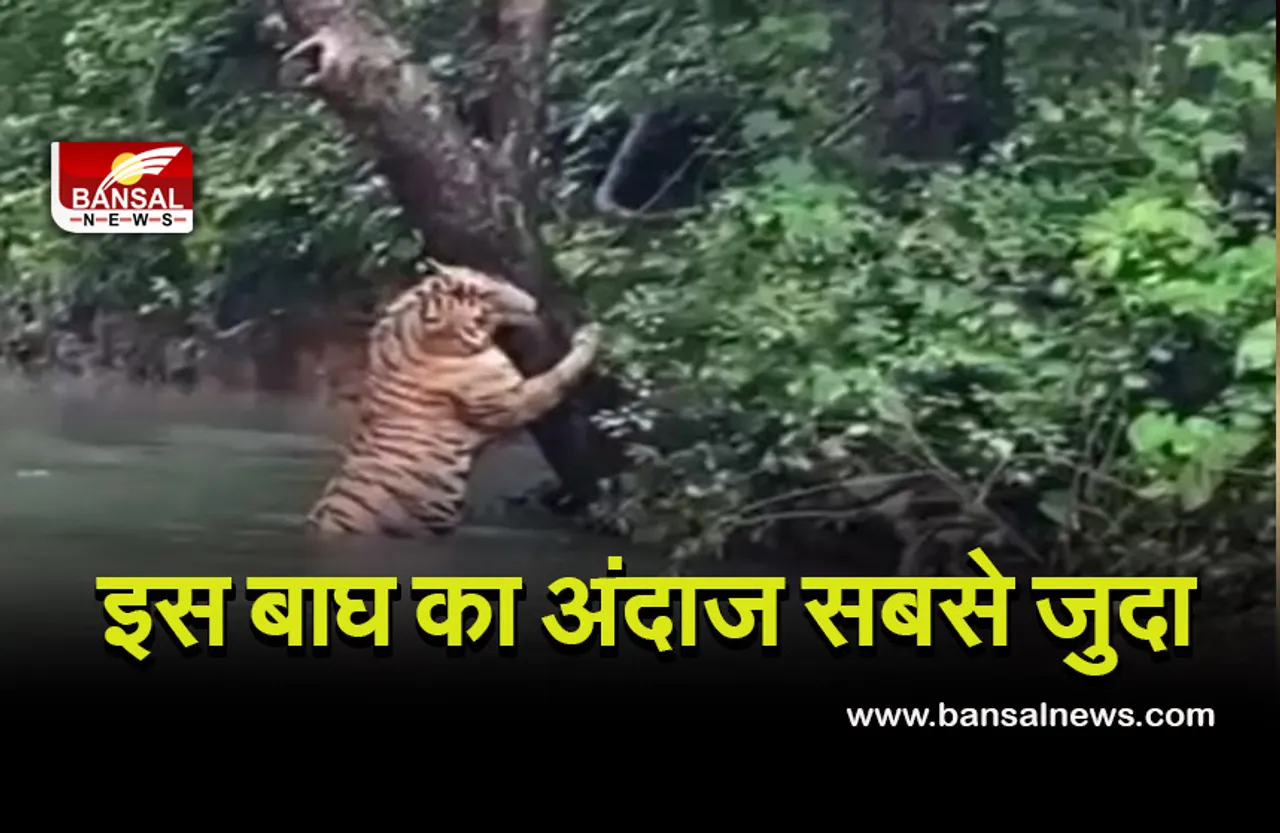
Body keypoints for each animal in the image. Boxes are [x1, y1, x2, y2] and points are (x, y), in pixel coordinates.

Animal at [305, 262, 603, 538]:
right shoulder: (512, 399)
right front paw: (591, 336)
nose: (533, 301)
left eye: (493, 279)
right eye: (484, 297)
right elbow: (558, 376)